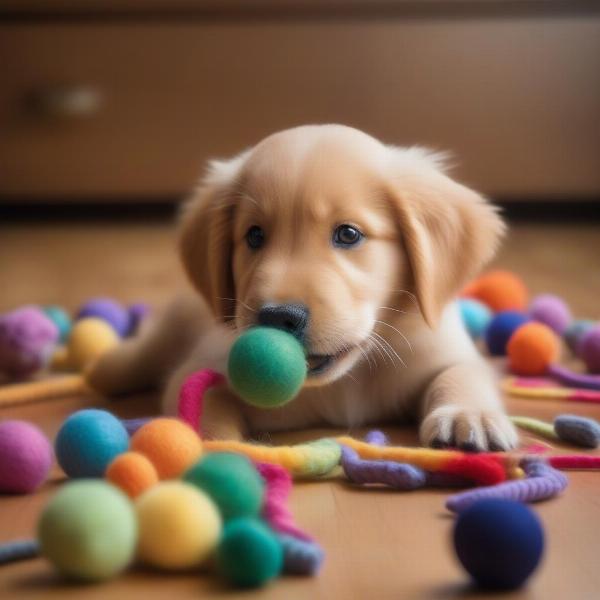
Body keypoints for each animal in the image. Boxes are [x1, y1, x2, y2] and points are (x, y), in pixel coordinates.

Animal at [89, 123, 516, 450]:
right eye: (254, 236)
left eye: (348, 234)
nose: (279, 317)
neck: (346, 381)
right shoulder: (206, 363)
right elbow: (201, 395)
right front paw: (214, 444)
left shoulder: (442, 348)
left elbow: (461, 373)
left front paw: (469, 415)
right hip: (178, 319)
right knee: (148, 350)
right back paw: (109, 366)